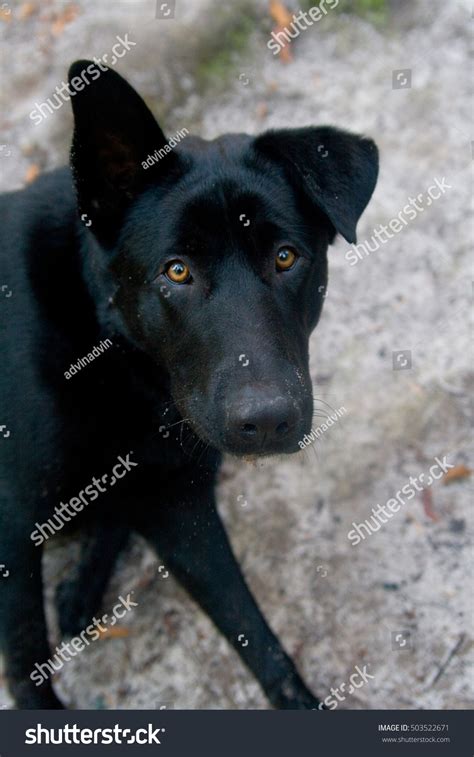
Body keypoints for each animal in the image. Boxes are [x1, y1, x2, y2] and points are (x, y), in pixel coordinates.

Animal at [0, 60, 378, 708]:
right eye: (177, 271)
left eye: (286, 257)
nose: (267, 422)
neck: (118, 362)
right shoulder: (9, 526)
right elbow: (28, 665)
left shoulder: (183, 503)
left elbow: (255, 634)